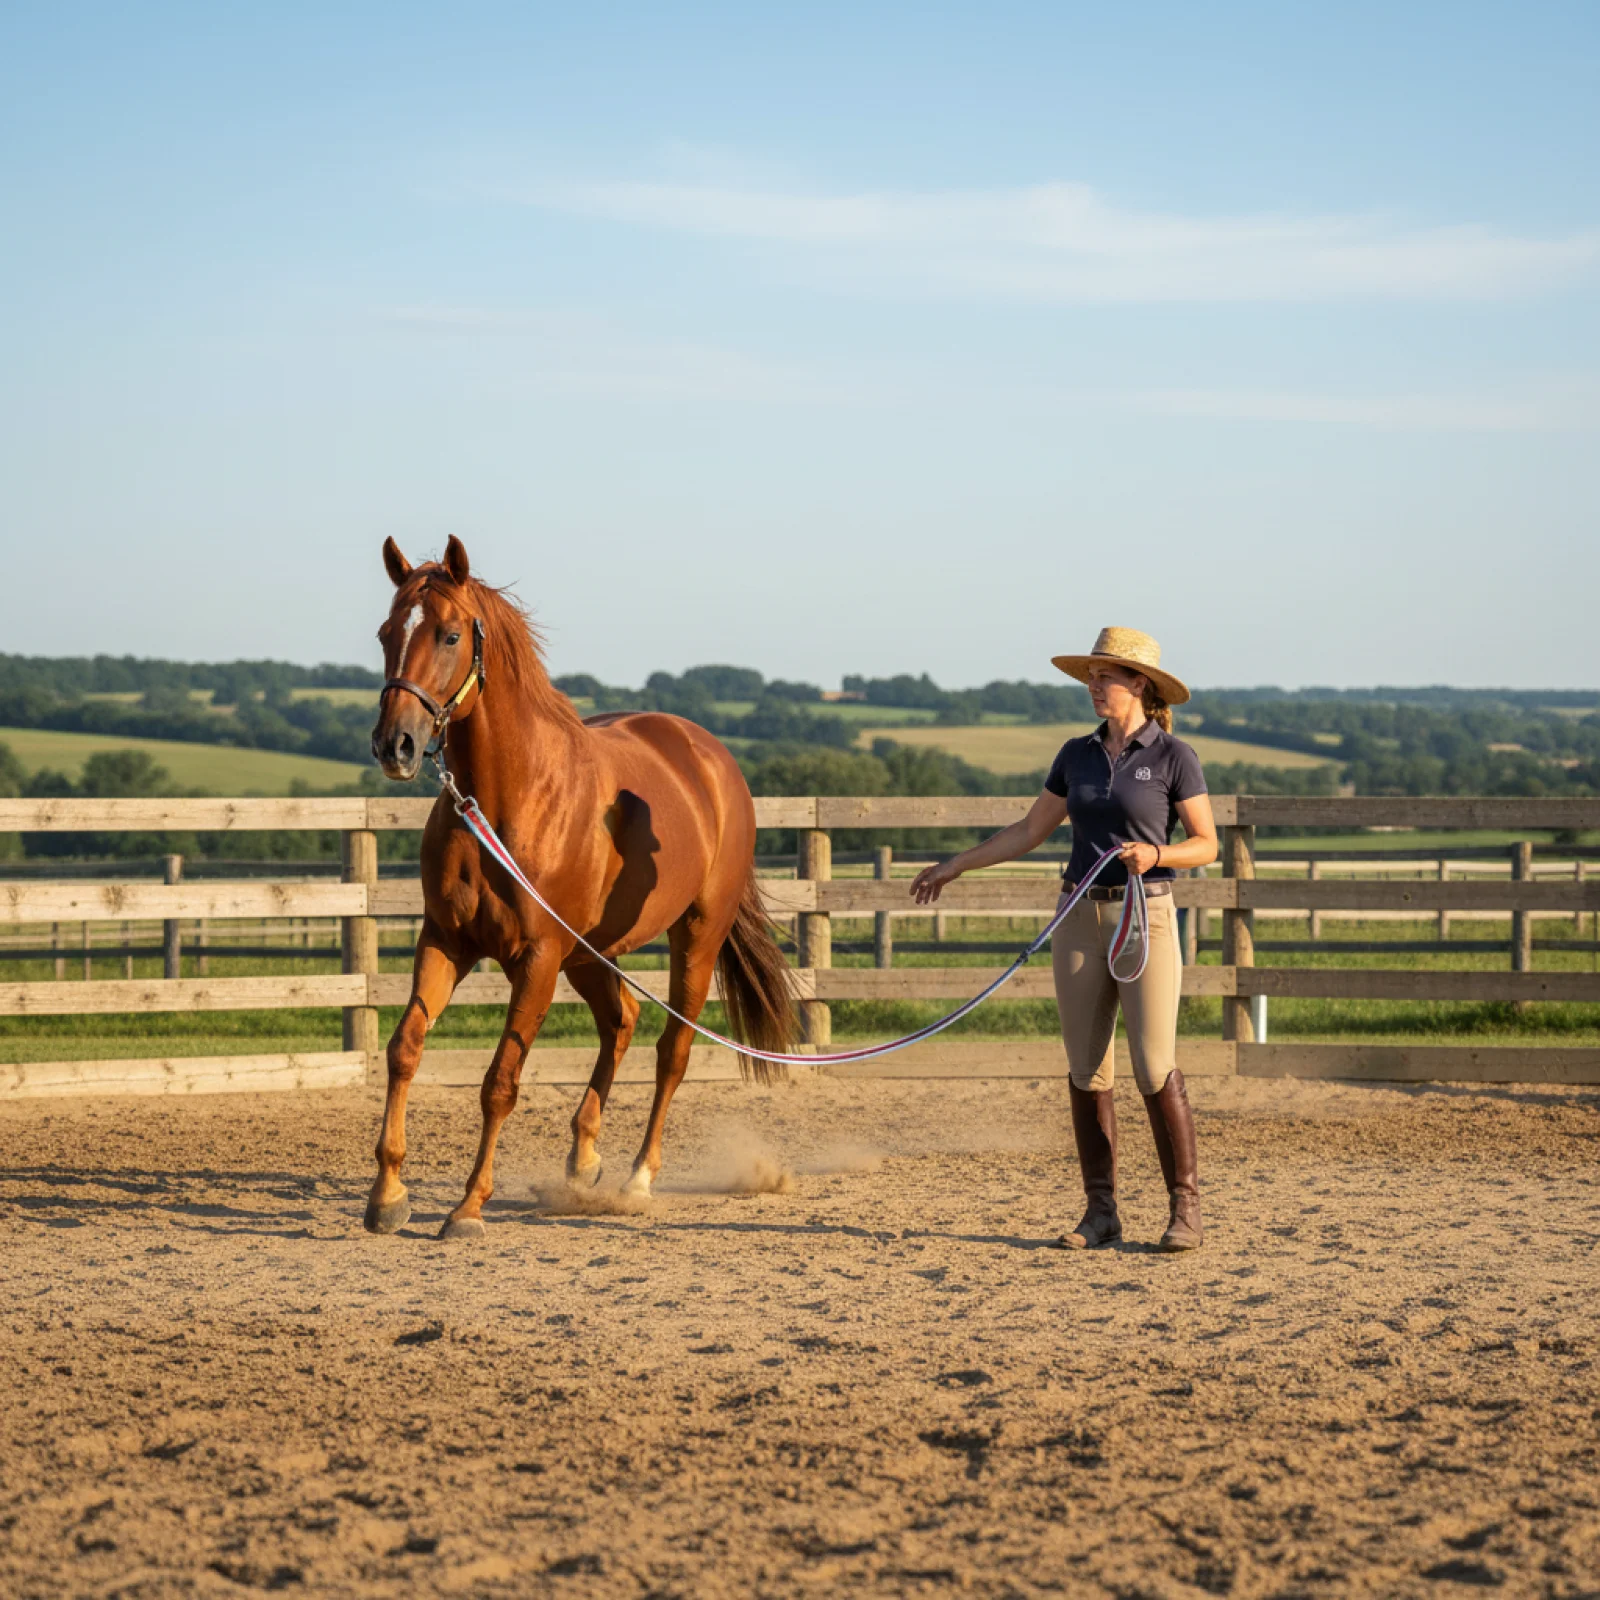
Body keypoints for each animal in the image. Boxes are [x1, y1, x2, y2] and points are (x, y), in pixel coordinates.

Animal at [364, 536, 796, 1238]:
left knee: (671, 1050)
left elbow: (500, 1082)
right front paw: (387, 1196)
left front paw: (468, 1207)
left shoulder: (537, 958)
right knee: (621, 1020)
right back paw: (583, 1159)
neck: (507, 800)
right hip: (591, 951)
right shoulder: (446, 941)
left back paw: (639, 1177)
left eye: (450, 634)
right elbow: (405, 1049)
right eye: (385, 633)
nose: (394, 745)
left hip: (694, 938)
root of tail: (710, 757)